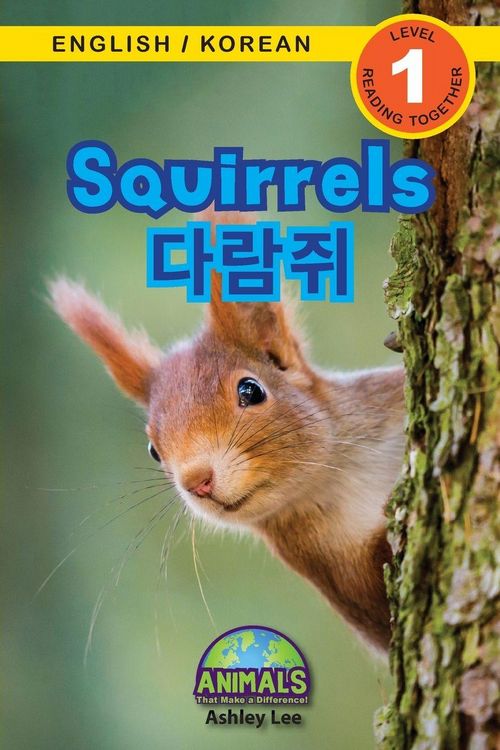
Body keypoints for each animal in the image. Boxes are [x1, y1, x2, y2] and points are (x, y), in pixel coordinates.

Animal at [49, 210, 405, 654]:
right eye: (153, 450)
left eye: (251, 390)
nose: (196, 480)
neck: (340, 477)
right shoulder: (337, 575)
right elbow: (382, 612)